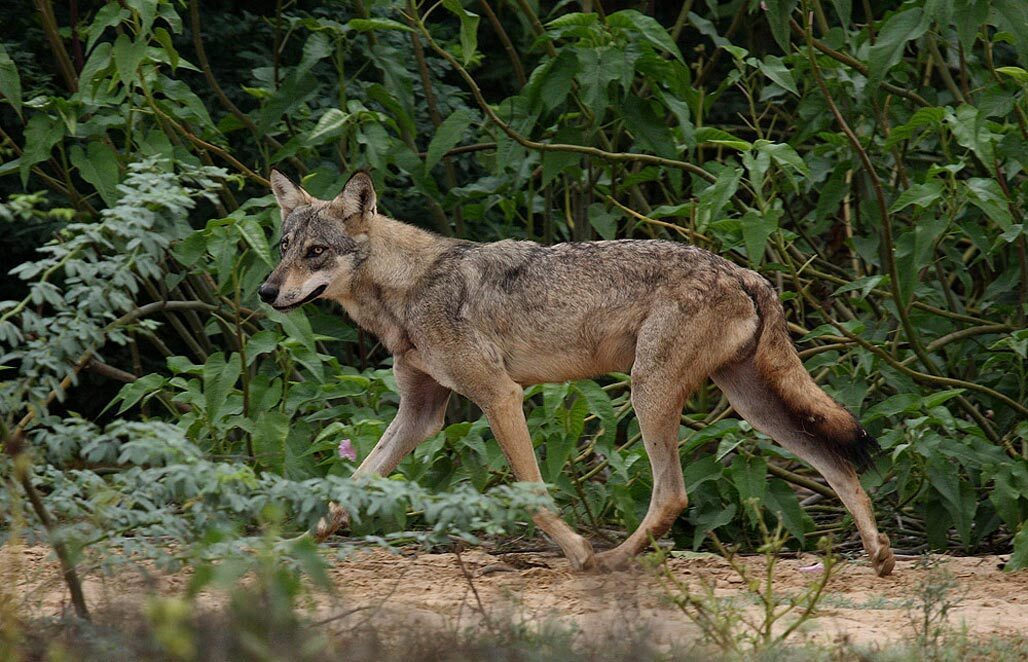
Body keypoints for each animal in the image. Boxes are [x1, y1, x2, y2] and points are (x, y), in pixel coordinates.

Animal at [261, 169, 896, 575]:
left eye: (316, 252)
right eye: (284, 245)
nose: (266, 292)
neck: (407, 288)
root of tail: (744, 271)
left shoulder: (500, 397)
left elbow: (533, 496)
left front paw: (577, 552)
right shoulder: (421, 415)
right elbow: (345, 491)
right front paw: (291, 547)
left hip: (649, 394)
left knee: (673, 496)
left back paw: (609, 561)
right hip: (750, 406)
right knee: (839, 464)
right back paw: (880, 554)